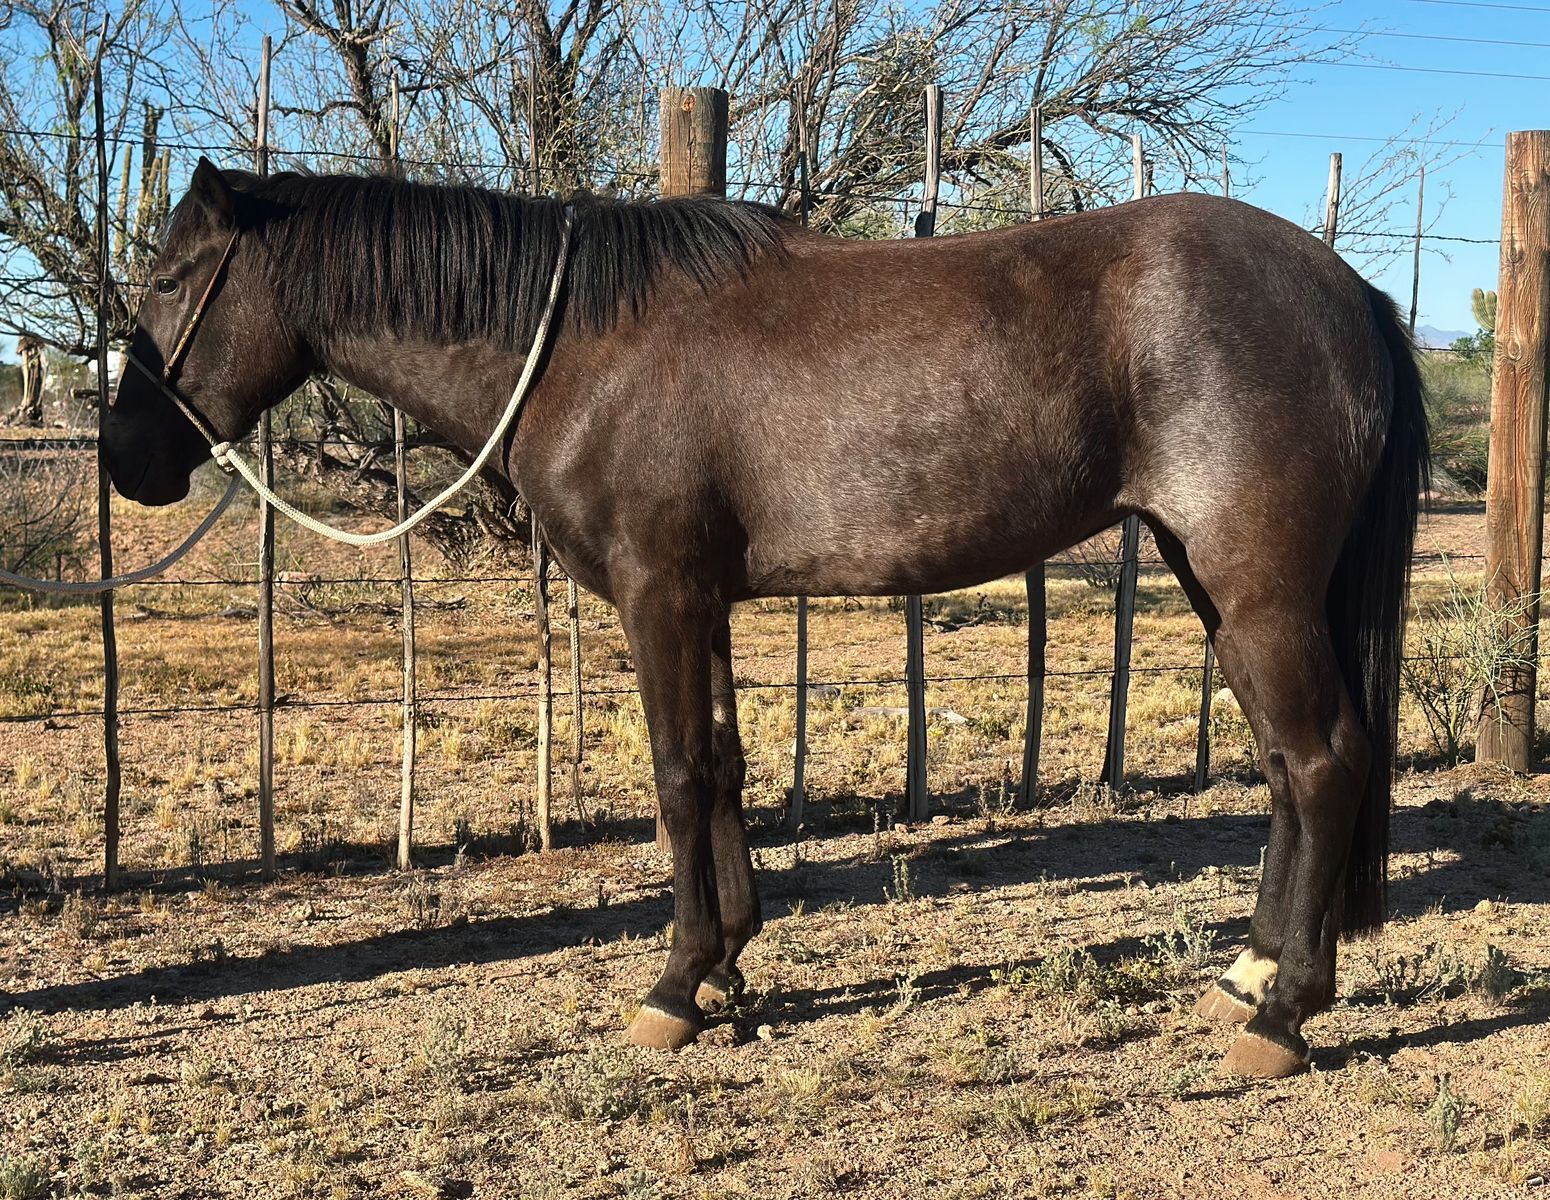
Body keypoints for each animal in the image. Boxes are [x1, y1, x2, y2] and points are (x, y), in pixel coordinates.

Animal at [104, 157, 1427, 1079]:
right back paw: (1246, 969)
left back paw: (1282, 1015)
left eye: (169, 282)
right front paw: (732, 965)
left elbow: (680, 775)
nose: (125, 459)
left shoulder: (659, 597)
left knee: (1319, 763)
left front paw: (674, 986)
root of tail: (1346, 289)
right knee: (1284, 769)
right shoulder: (705, 603)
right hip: (1219, 589)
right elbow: (727, 771)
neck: (583, 345)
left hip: (1256, 592)